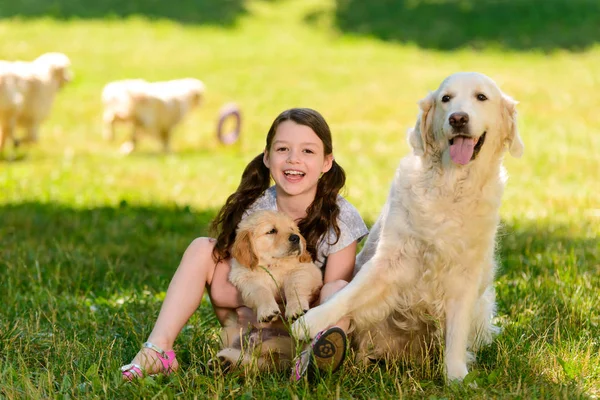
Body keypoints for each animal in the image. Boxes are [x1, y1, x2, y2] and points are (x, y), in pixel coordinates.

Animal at [217, 211, 324, 374]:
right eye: (271, 231)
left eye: (292, 229)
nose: (296, 237)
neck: (273, 265)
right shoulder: (246, 277)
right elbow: (261, 291)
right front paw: (267, 311)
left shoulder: (304, 270)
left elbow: (294, 286)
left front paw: (296, 309)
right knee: (249, 361)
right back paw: (221, 363)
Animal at [292, 72, 524, 382]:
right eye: (446, 98)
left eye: (481, 97)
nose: (458, 119)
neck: (451, 186)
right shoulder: (390, 261)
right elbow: (348, 295)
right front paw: (307, 323)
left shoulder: (465, 276)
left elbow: (456, 333)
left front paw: (457, 377)